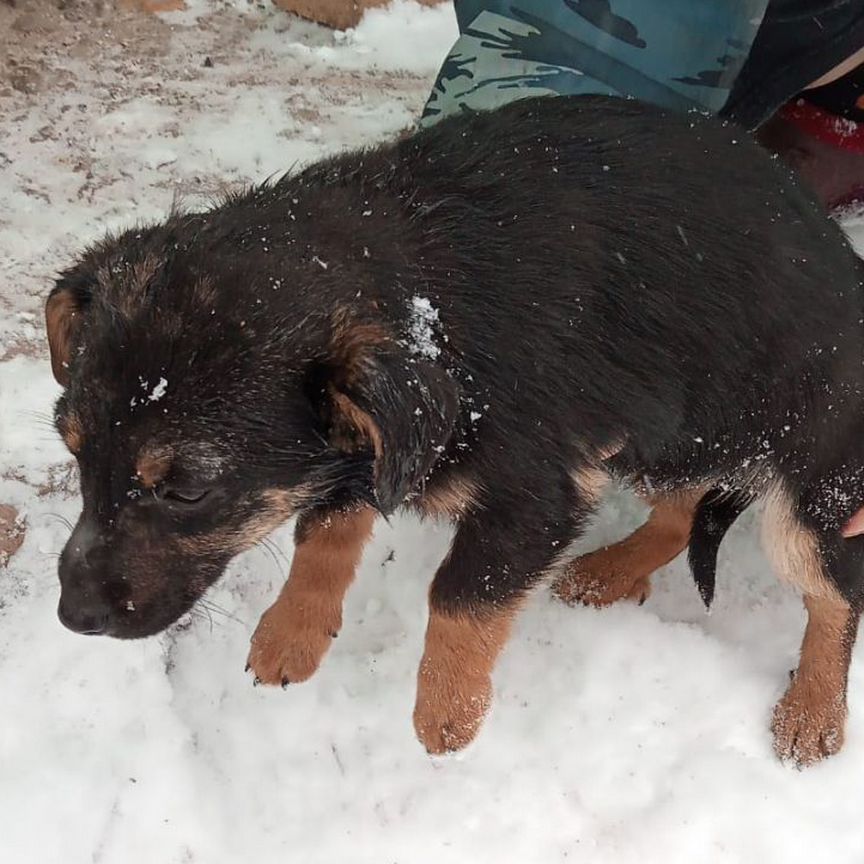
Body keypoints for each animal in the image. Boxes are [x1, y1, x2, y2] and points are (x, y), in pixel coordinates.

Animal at [45, 98, 864, 768]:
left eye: (187, 490)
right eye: (73, 450)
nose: (72, 619)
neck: (431, 306)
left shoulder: (534, 494)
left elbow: (461, 595)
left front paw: (448, 714)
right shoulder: (376, 447)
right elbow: (325, 529)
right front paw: (293, 632)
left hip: (807, 490)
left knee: (836, 592)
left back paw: (812, 714)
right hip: (669, 432)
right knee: (682, 507)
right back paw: (613, 570)